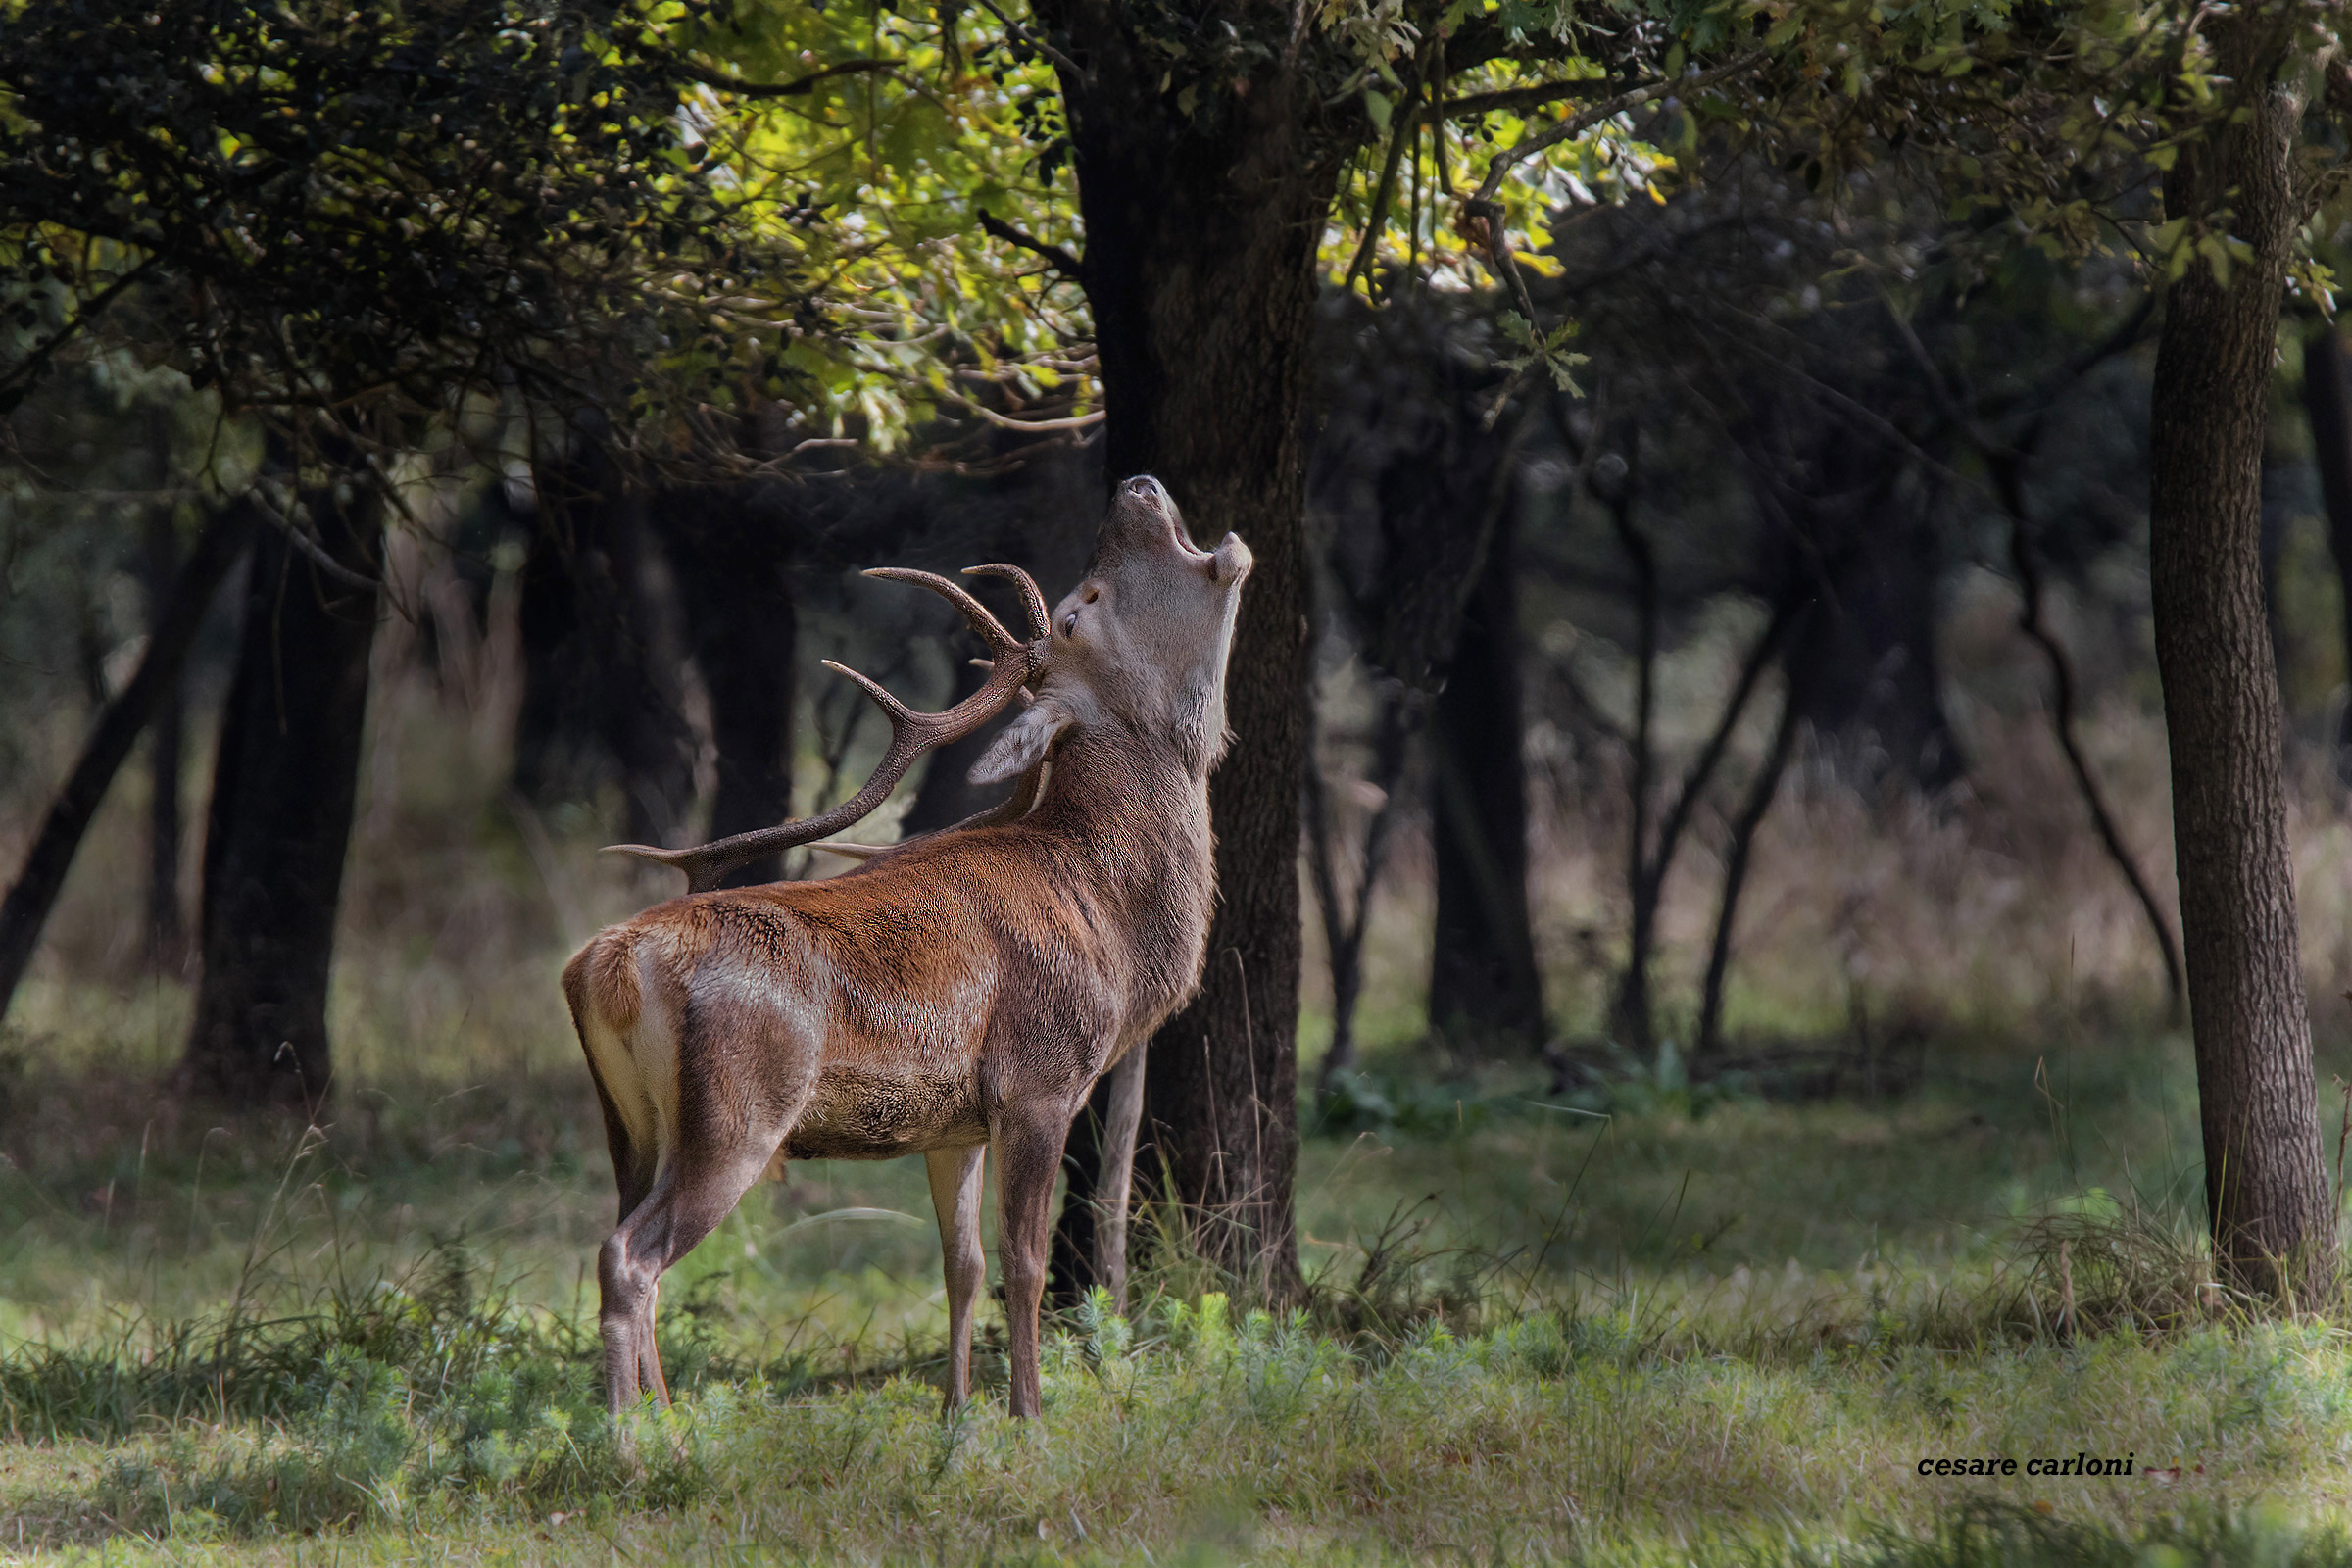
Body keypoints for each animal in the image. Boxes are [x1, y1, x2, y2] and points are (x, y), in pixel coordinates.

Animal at [560, 475, 1251, 1419]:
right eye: (1082, 607)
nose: (1137, 484)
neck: (1109, 923)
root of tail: (604, 965)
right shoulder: (1041, 1081)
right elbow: (1027, 1264)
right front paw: (1028, 1414)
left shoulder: (952, 1123)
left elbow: (962, 1265)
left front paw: (956, 1415)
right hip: (740, 1108)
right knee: (630, 1257)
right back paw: (632, 1438)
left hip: (628, 1123)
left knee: (630, 1245)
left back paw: (668, 1422)